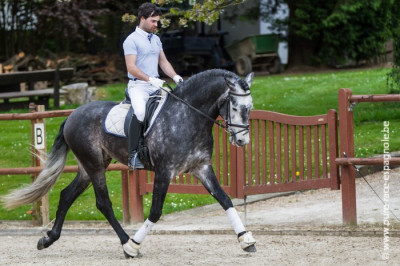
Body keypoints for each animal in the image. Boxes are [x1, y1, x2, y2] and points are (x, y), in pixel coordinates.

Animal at [2, 68, 256, 258]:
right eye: (235, 107)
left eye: (250, 108)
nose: (242, 141)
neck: (188, 116)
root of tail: (73, 114)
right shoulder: (164, 171)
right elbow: (155, 211)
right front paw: (134, 245)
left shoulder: (201, 168)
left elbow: (225, 200)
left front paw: (246, 240)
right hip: (94, 165)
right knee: (103, 203)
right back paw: (125, 243)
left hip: (90, 166)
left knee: (66, 195)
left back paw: (48, 239)